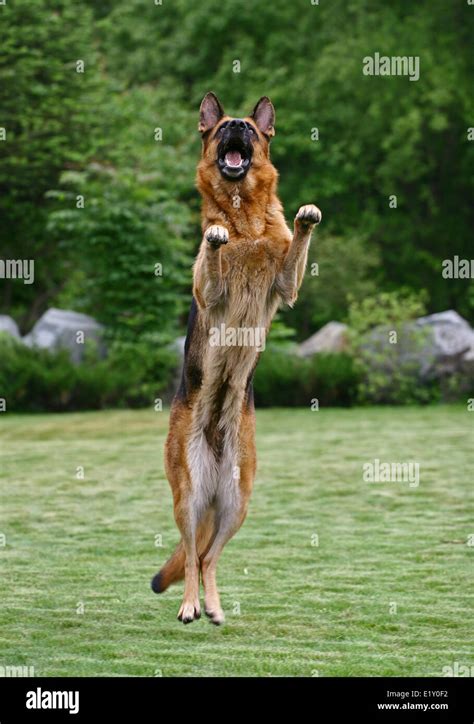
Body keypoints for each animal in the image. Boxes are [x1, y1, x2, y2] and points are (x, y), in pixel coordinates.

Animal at [152, 92, 322, 624]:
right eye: (223, 125)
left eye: (247, 126)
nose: (235, 130)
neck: (244, 218)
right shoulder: (210, 293)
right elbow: (212, 257)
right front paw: (214, 235)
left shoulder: (286, 283)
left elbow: (296, 243)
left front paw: (305, 215)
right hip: (187, 500)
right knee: (191, 555)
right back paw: (189, 605)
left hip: (237, 503)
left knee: (208, 557)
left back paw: (213, 607)